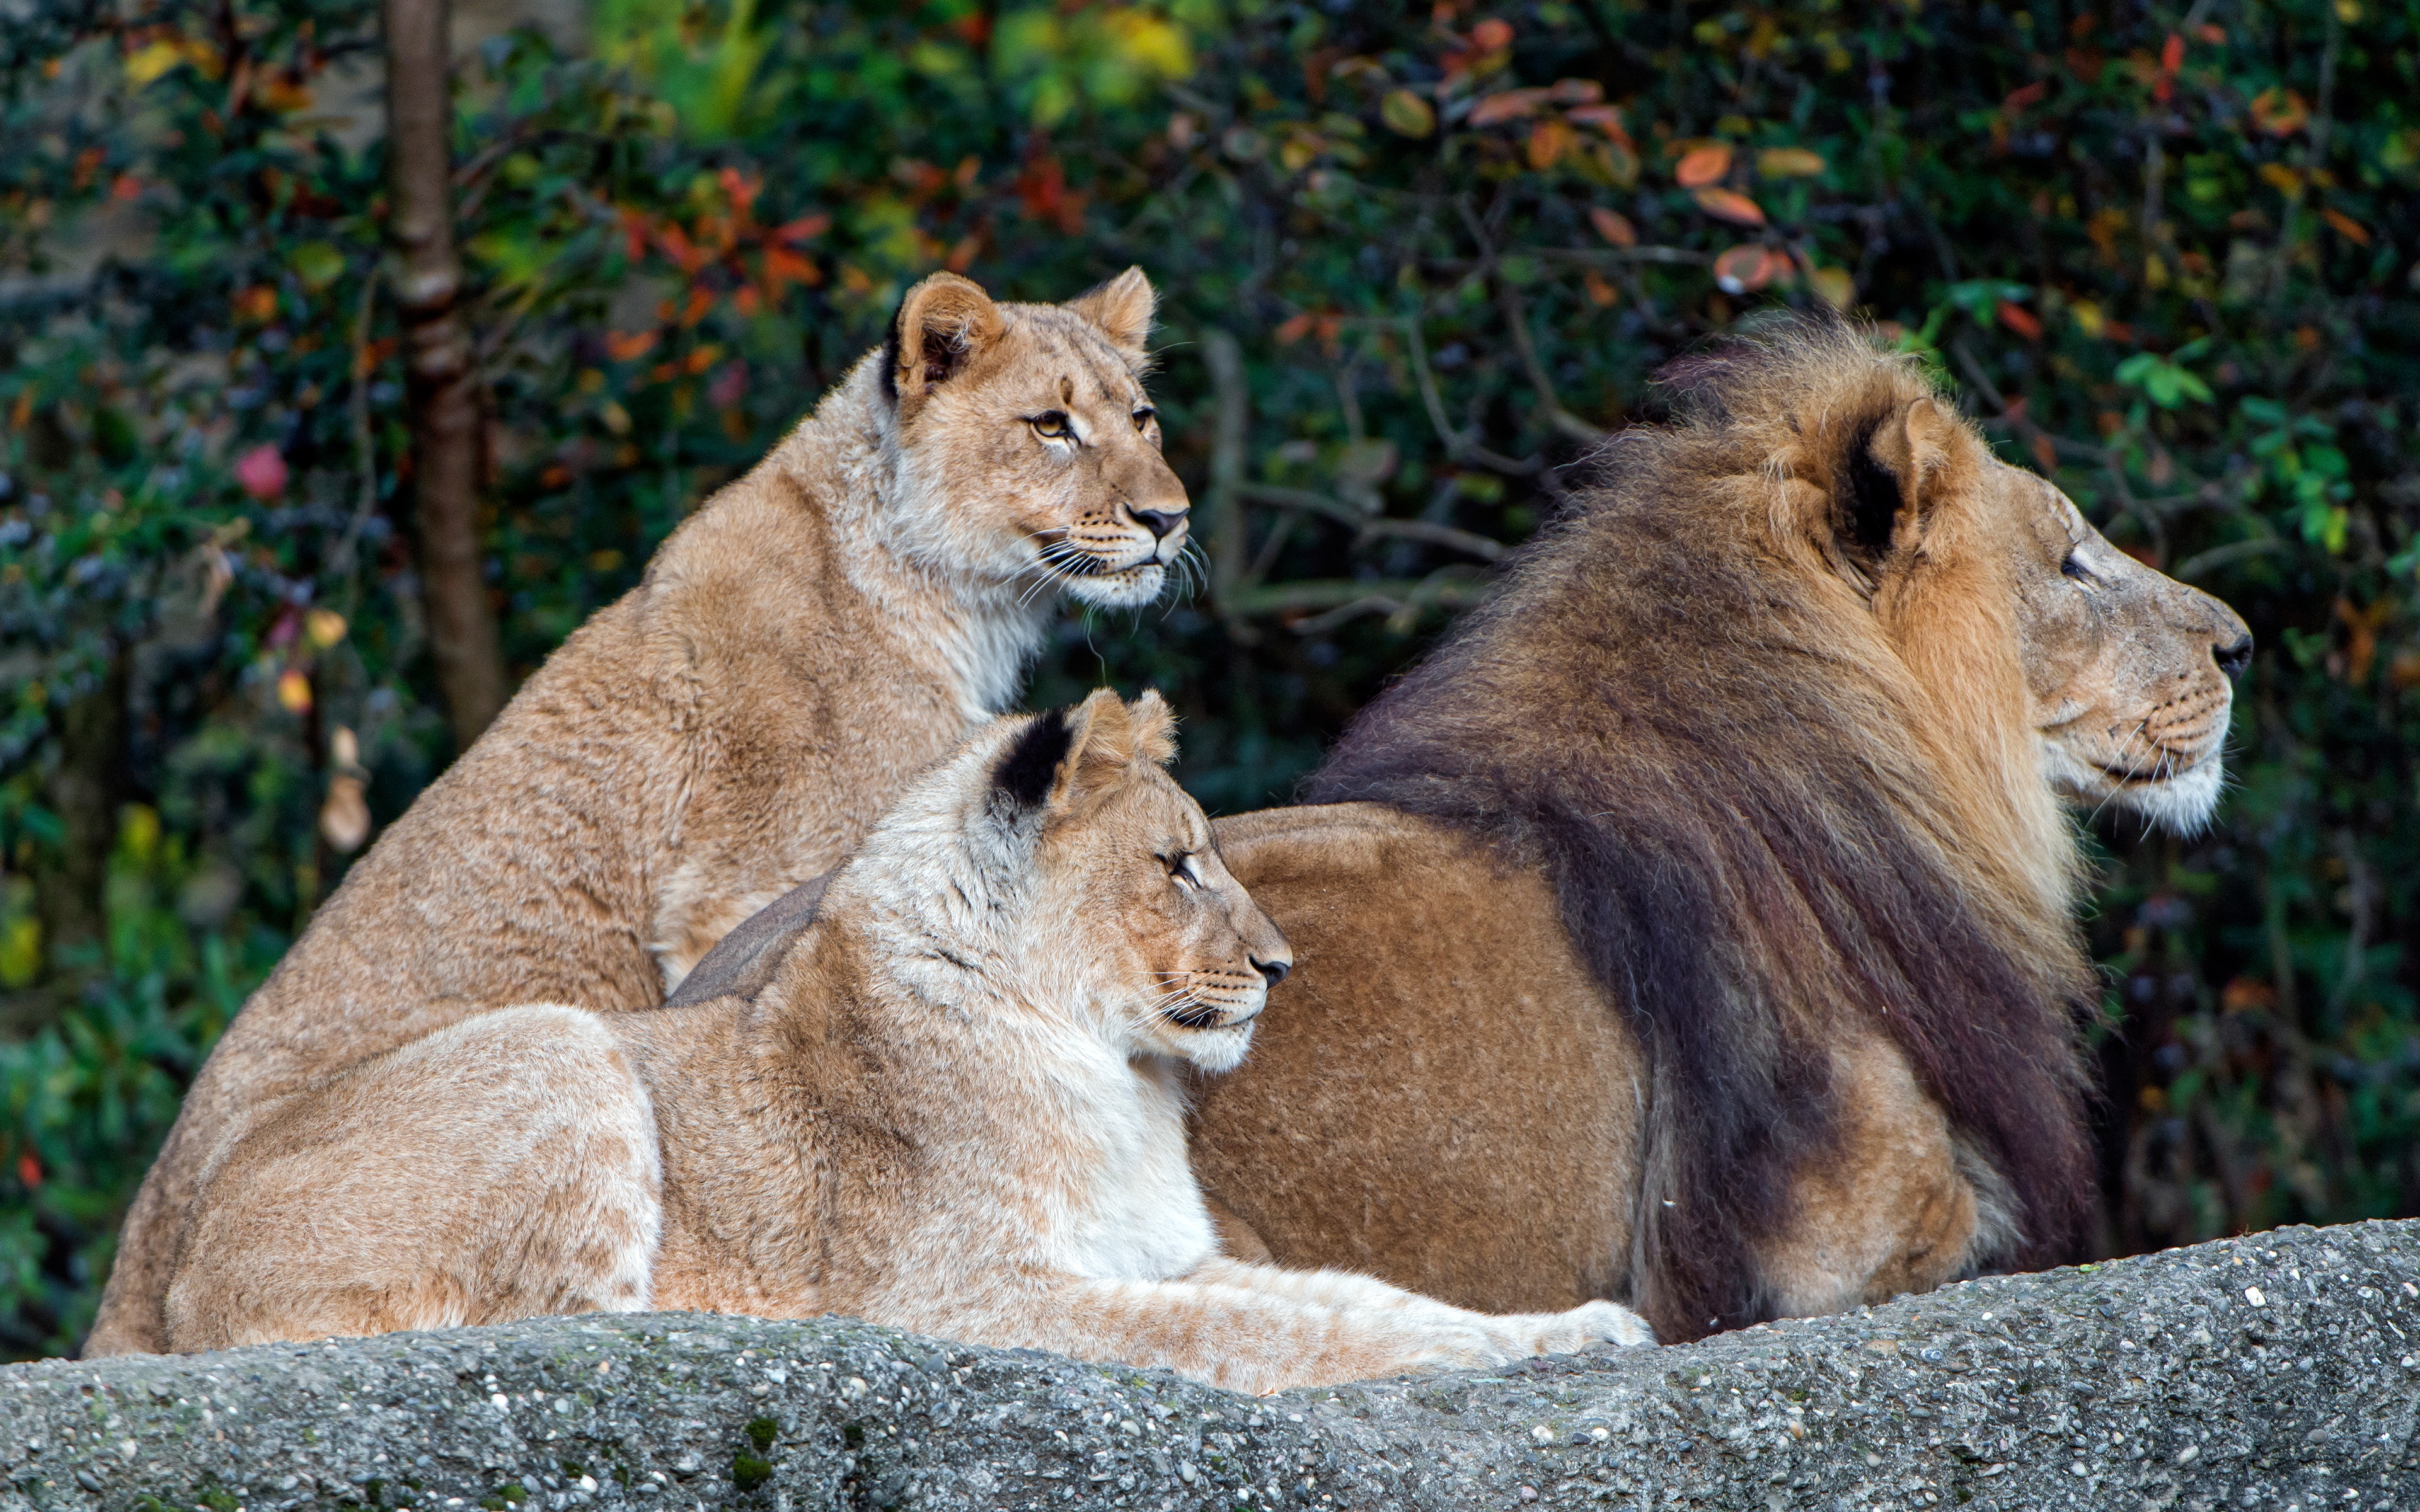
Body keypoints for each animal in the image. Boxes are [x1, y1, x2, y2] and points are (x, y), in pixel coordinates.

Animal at [89, 265, 1185, 1354]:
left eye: (1142, 417)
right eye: (1051, 425)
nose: (1170, 519)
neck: (952, 597)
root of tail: (134, 1309)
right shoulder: (752, 883)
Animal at [161, 692, 1655, 1383]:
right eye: (1177, 865)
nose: (1282, 969)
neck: (1114, 1077)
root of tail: (175, 1299)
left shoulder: (1163, 1252)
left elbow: (1353, 1299)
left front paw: (1574, 1334)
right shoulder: (970, 1298)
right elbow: (1265, 1336)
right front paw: (1479, 1361)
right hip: (558, 1042)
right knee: (562, 1325)